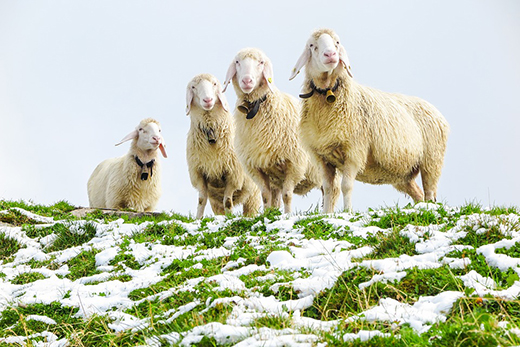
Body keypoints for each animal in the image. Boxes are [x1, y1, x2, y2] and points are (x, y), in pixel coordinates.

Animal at [185, 73, 262, 220]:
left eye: (214, 84)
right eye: (193, 87)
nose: (208, 100)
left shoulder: (233, 175)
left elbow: (228, 202)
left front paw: (230, 218)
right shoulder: (200, 173)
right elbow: (201, 200)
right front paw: (198, 219)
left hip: (252, 194)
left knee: (249, 209)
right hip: (215, 200)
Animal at [222, 47, 320, 213]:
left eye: (261, 62)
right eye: (237, 62)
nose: (247, 81)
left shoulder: (294, 163)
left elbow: (287, 195)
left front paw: (287, 215)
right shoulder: (256, 166)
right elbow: (265, 196)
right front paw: (267, 214)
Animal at [290, 29, 448, 215]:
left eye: (337, 42)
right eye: (312, 45)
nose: (331, 55)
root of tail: (435, 111)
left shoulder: (354, 151)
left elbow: (346, 186)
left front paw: (347, 212)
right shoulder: (322, 157)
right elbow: (329, 189)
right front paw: (327, 214)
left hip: (431, 159)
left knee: (430, 192)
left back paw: (429, 209)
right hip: (404, 173)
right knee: (418, 193)